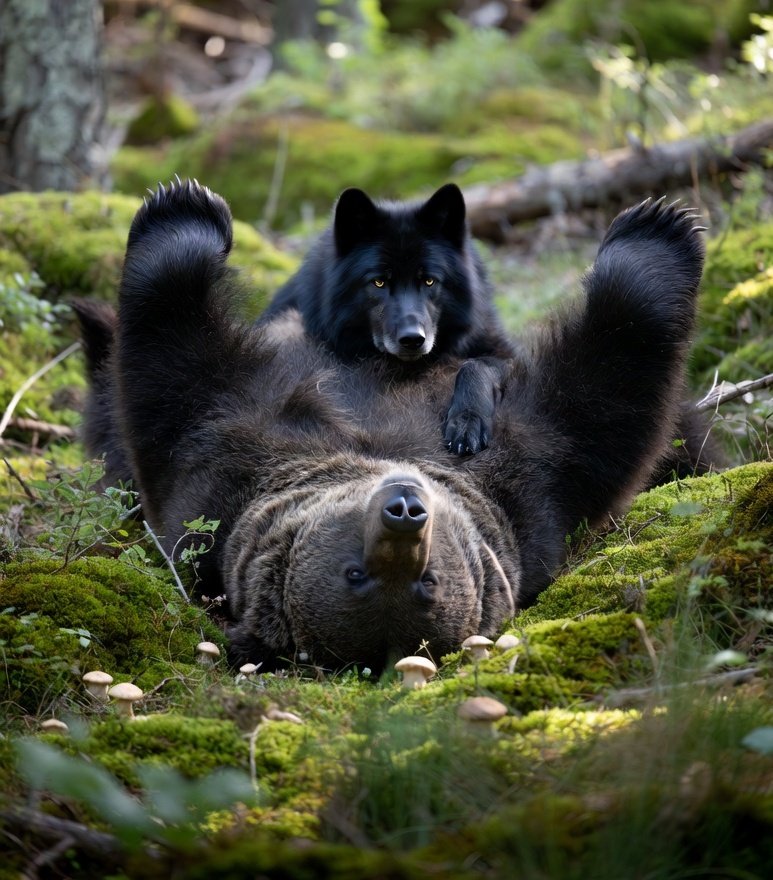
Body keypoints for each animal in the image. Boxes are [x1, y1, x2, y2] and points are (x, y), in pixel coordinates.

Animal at [78, 179, 705, 673]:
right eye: (355, 573)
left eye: (429, 582)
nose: (405, 510)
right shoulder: (223, 458)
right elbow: (169, 371)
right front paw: (184, 206)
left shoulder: (531, 479)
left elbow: (607, 391)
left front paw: (660, 224)